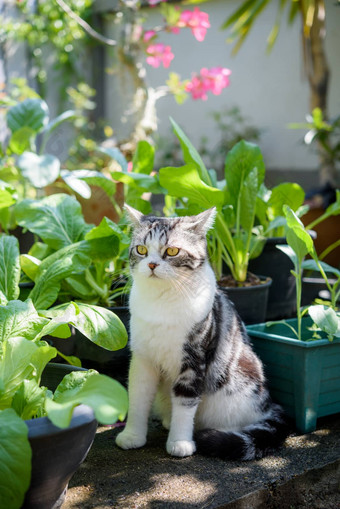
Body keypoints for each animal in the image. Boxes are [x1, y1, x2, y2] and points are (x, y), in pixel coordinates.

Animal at [115, 204, 288, 458]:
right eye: (141, 249)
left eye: (172, 251)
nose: (152, 265)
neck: (161, 300)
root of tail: (269, 404)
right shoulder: (142, 358)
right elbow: (137, 397)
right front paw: (132, 436)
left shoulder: (195, 357)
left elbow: (186, 401)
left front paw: (180, 442)